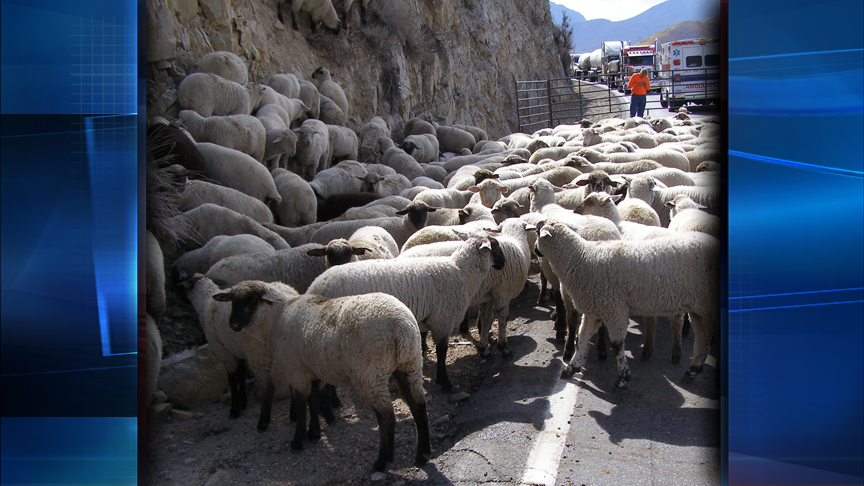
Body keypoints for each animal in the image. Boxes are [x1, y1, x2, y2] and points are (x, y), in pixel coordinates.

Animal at [215, 281, 430, 470]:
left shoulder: (297, 370)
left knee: (386, 415)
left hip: (370, 375)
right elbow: (314, 399)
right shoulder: (314, 370)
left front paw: (298, 441)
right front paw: (314, 433)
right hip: (409, 365)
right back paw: (422, 455)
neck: (277, 317)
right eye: (232, 300)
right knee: (418, 405)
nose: (233, 325)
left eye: (251, 300)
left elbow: (301, 404)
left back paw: (382, 461)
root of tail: (400, 326)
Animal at [306, 236, 506, 392]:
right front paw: (445, 382)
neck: (461, 273)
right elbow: (442, 353)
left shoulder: (426, 319)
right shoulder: (442, 320)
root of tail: (314, 286)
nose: (503, 263)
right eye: (495, 246)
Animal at [536, 222, 720, 387]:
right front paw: (571, 368)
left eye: (538, 232)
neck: (581, 259)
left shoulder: (614, 309)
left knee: (704, 337)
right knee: (703, 338)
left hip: (705, 305)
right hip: (698, 309)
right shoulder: (595, 310)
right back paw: (692, 370)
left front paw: (623, 377)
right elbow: (581, 339)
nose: (536, 251)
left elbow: (617, 345)